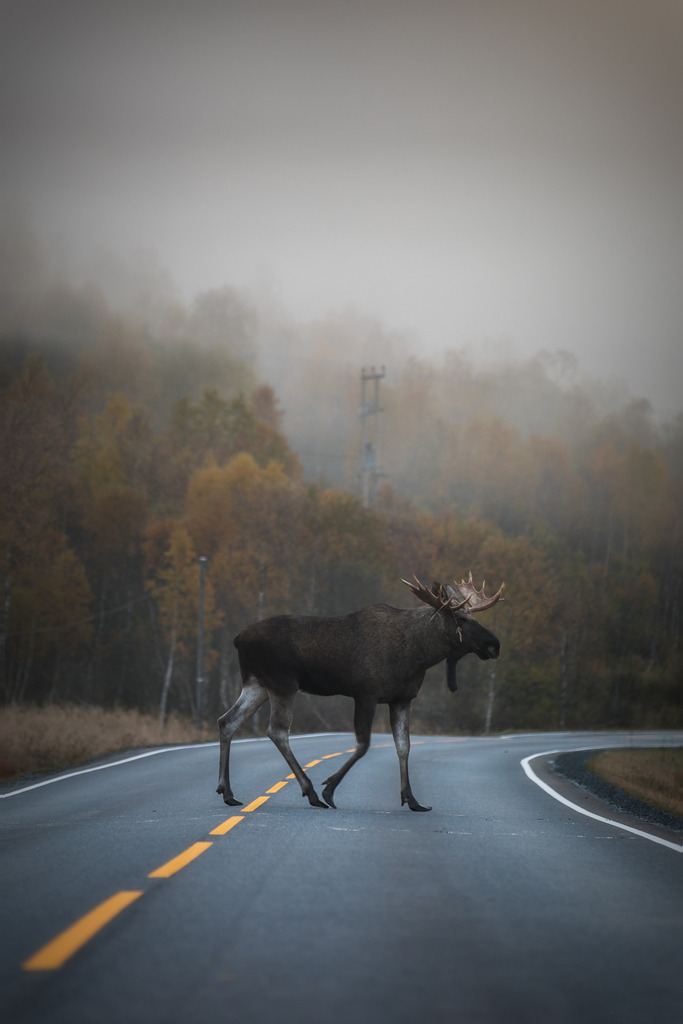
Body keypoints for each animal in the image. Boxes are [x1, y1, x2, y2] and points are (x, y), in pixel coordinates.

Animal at [216, 574, 503, 812]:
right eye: (461, 620)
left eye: (475, 617)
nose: (494, 645)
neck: (418, 655)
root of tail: (237, 639)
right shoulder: (366, 693)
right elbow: (363, 744)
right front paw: (330, 790)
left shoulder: (403, 698)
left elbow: (404, 747)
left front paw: (412, 800)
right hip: (282, 684)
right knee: (277, 730)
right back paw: (311, 792)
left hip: (257, 685)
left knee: (227, 721)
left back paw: (227, 792)